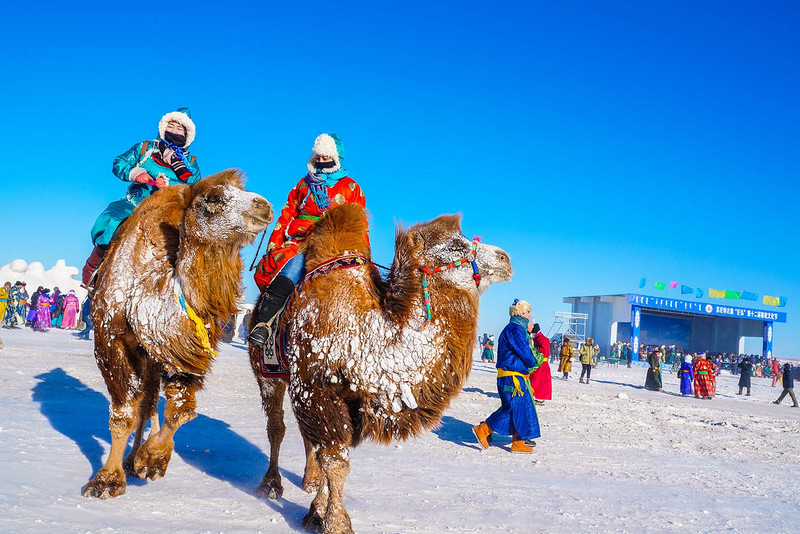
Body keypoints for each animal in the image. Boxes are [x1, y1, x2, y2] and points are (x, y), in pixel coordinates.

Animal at [83, 170, 274, 500]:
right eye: (214, 198)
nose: (263, 204)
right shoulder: (109, 339)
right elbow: (123, 413)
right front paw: (106, 480)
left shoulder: (188, 347)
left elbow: (181, 409)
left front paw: (152, 459)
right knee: (141, 403)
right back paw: (127, 463)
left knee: (148, 401)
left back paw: (134, 460)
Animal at [250, 204, 512, 532]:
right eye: (456, 246)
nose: (505, 258)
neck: (368, 335)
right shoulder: (315, 388)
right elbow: (335, 460)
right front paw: (336, 523)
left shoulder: (344, 401)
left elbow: (330, 455)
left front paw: (316, 512)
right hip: (268, 371)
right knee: (277, 426)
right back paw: (270, 484)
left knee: (304, 435)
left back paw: (307, 480)